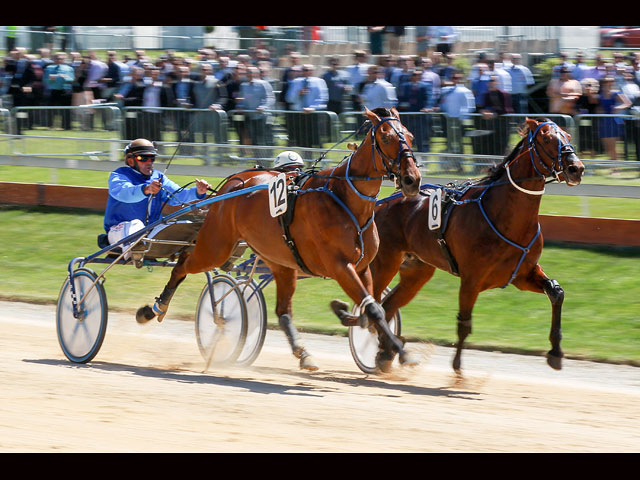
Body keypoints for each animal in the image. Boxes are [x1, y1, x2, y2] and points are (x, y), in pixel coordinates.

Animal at [138, 108, 422, 372]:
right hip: (216, 246)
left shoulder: (361, 267)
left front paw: (349, 316)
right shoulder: (341, 266)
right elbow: (373, 309)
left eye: (409, 135)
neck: (343, 198)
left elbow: (370, 310)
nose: (412, 179)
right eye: (386, 137)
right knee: (184, 263)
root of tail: (233, 182)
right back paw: (154, 309)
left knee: (283, 311)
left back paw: (303, 354)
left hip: (279, 260)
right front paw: (402, 353)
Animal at [370, 118, 584, 374]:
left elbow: (556, 292)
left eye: (568, 136)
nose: (576, 168)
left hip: (417, 271)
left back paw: (385, 352)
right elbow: (464, 323)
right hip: (385, 263)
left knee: (388, 306)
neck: (503, 214)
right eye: (547, 138)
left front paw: (556, 353)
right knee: (374, 305)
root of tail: (379, 205)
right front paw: (457, 369)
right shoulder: (471, 280)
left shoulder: (522, 275)